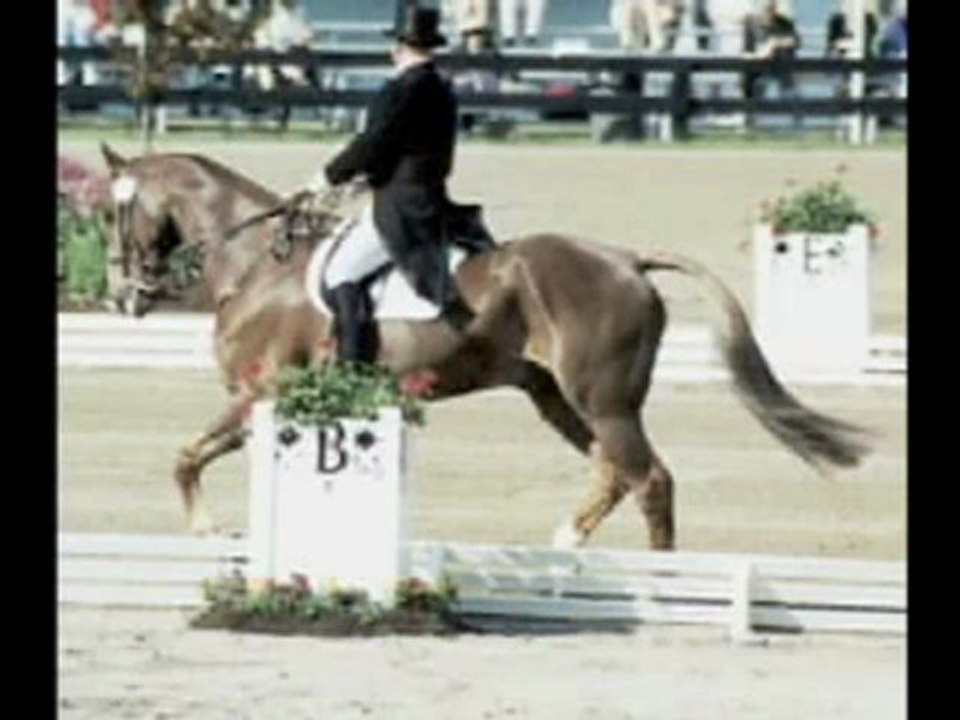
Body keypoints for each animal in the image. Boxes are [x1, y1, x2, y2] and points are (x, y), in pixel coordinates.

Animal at [98, 143, 871, 550]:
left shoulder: (257, 392)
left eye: (114, 211)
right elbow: (196, 456)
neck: (258, 262)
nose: (121, 296)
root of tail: (627, 259)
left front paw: (207, 531)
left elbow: (186, 456)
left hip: (603, 400)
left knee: (649, 479)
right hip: (556, 397)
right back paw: (566, 547)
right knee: (612, 473)